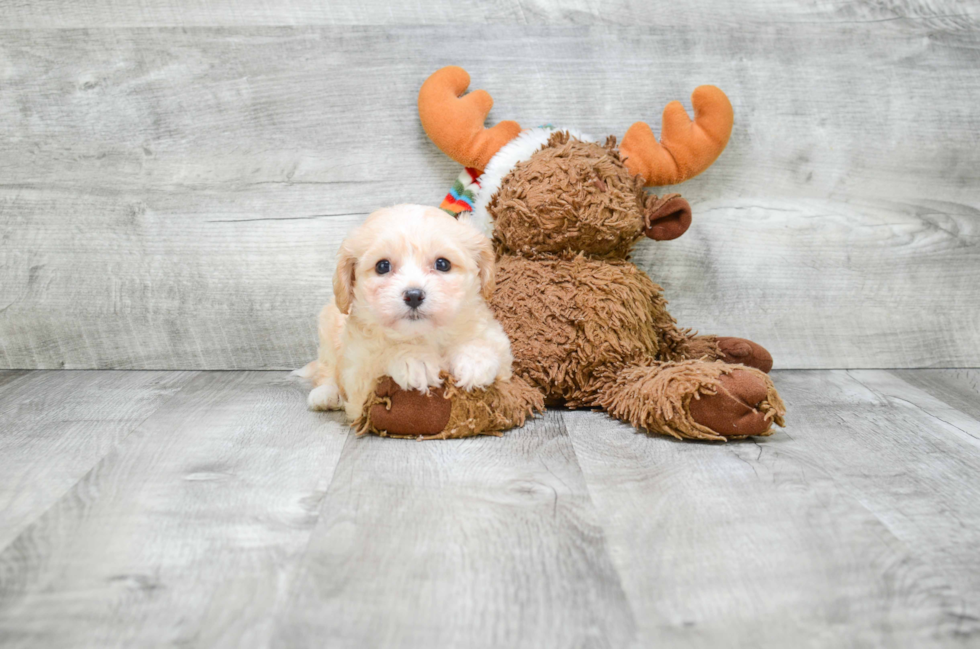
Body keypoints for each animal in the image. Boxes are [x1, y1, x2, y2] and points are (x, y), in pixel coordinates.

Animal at [296, 205, 512, 422]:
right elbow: (380, 356)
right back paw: (325, 394)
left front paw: (475, 360)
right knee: (326, 371)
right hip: (328, 333)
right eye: (382, 266)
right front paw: (414, 359)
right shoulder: (357, 377)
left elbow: (488, 347)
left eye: (443, 264)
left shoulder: (501, 352)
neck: (425, 336)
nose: (414, 295)